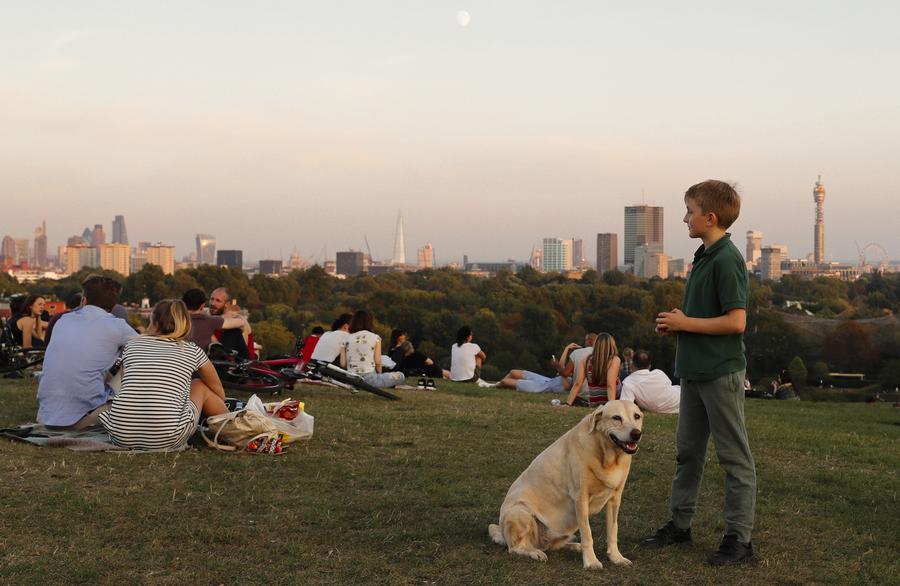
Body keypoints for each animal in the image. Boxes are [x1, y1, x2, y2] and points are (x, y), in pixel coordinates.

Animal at [488, 400, 644, 568]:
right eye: (616, 418)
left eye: (637, 416)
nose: (636, 434)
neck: (607, 457)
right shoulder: (580, 499)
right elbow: (587, 533)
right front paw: (591, 561)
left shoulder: (614, 500)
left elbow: (613, 530)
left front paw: (616, 557)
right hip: (520, 512)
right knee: (516, 548)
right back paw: (535, 552)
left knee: (552, 545)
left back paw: (574, 546)